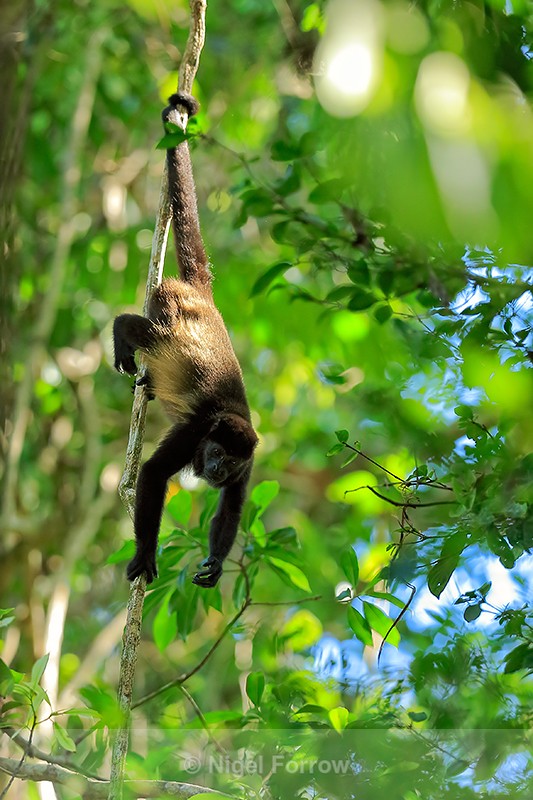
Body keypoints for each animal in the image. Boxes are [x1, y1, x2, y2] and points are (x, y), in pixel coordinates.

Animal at [113, 92, 258, 588]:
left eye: (228, 463)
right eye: (214, 452)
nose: (214, 469)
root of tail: (202, 294)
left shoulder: (251, 458)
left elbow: (231, 506)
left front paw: (215, 563)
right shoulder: (195, 431)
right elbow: (155, 473)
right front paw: (144, 554)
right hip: (169, 308)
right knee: (141, 330)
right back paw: (122, 338)